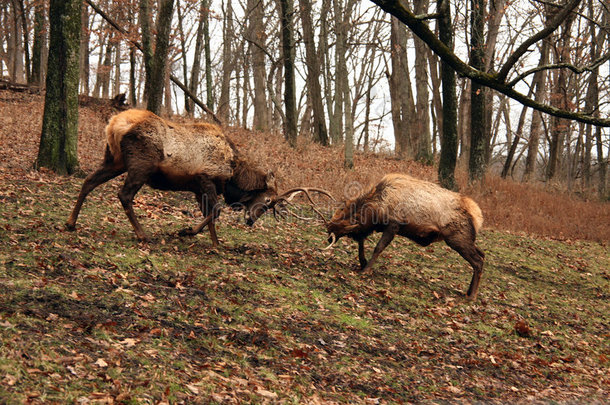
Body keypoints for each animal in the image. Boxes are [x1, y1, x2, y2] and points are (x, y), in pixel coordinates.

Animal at [66, 107, 324, 245]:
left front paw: (203, 237)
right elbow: (215, 211)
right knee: (124, 195)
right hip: (141, 165)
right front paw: (198, 235)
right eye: (268, 200)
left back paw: (70, 223)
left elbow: (208, 213)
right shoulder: (205, 179)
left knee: (89, 181)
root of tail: (114, 124)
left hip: (114, 160)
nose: (251, 221)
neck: (233, 175)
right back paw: (142, 234)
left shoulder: (198, 188)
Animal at [324, 172, 484, 298]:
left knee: (478, 261)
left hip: (457, 239)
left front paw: (365, 269)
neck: (377, 208)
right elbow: (361, 241)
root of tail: (478, 218)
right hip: (467, 239)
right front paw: (362, 262)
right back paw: (469, 292)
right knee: (482, 254)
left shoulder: (394, 224)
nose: (328, 236)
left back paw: (472, 296)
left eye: (337, 227)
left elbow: (378, 247)